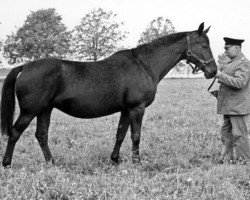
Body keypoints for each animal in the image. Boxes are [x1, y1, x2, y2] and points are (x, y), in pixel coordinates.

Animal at [0, 22, 217, 166]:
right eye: (204, 46)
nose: (213, 71)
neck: (144, 65)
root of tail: (25, 66)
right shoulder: (136, 108)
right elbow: (135, 135)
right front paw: (137, 162)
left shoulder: (126, 109)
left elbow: (120, 134)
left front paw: (115, 160)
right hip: (30, 111)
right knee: (15, 133)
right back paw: (7, 163)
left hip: (45, 110)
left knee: (41, 135)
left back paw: (52, 163)